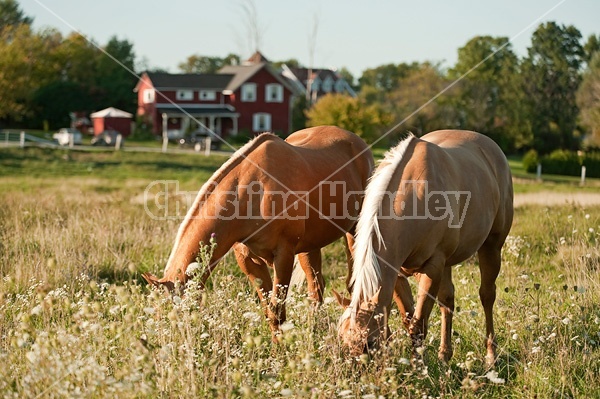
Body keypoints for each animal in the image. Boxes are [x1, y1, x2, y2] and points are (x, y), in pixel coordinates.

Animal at [143, 126, 372, 336]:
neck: (253, 193)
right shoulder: (248, 260)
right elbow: (268, 309)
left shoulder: (283, 255)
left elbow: (277, 310)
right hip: (310, 246)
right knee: (316, 287)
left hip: (353, 233)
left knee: (351, 283)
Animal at [336, 130, 512, 366]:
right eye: (342, 338)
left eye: (369, 343)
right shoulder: (398, 273)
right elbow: (408, 318)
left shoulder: (433, 267)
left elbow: (418, 324)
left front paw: (418, 366)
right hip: (448, 263)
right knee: (447, 300)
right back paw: (444, 355)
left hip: (491, 247)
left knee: (487, 296)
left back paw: (491, 355)